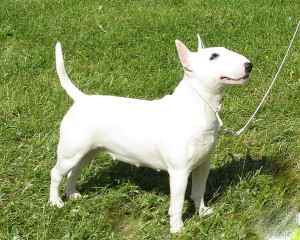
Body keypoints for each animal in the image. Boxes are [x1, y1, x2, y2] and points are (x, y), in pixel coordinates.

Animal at [49, 36, 253, 233]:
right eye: (213, 56)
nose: (249, 65)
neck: (199, 105)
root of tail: (82, 99)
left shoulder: (203, 164)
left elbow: (199, 189)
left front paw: (202, 212)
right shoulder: (179, 172)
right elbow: (177, 203)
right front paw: (177, 228)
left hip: (89, 150)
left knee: (74, 170)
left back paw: (72, 194)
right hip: (71, 151)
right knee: (56, 173)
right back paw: (55, 202)